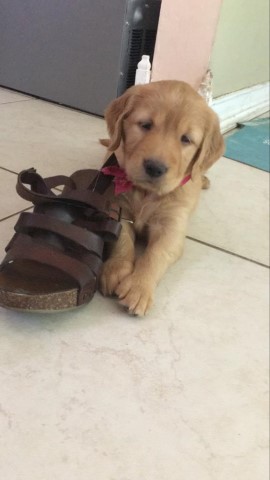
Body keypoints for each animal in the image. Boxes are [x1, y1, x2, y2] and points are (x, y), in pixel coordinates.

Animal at [100, 80, 225, 316]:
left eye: (186, 139)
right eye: (145, 125)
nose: (155, 167)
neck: (146, 193)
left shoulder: (172, 227)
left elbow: (155, 255)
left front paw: (139, 287)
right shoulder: (118, 208)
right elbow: (122, 241)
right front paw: (116, 270)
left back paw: (203, 179)